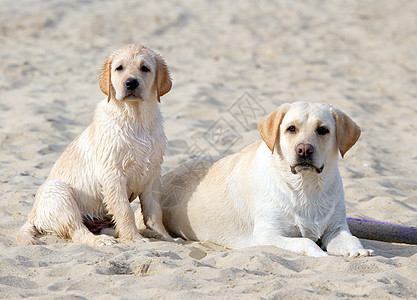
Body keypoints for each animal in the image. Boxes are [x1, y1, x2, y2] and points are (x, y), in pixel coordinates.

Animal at [17, 44, 172, 246]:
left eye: (145, 68)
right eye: (119, 68)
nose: (131, 83)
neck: (136, 119)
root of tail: (32, 216)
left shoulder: (152, 173)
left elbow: (154, 210)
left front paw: (163, 235)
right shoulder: (113, 175)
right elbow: (125, 210)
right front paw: (134, 239)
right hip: (59, 193)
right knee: (77, 231)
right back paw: (102, 241)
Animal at [160, 102, 374, 256]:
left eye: (322, 129)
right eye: (291, 129)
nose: (304, 149)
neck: (306, 187)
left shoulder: (336, 228)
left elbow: (352, 239)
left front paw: (358, 251)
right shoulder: (267, 235)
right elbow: (305, 241)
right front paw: (320, 255)